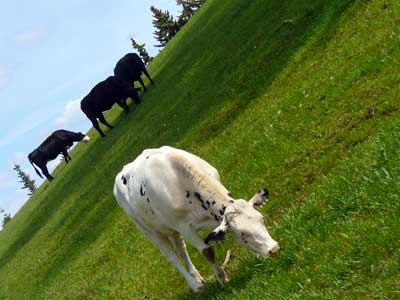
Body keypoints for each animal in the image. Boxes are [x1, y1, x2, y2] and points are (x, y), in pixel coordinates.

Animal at [114, 146, 280, 292]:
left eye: (262, 220)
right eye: (243, 234)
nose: (274, 249)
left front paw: (256, 256)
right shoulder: (183, 227)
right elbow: (207, 251)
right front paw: (222, 279)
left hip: (171, 229)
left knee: (181, 250)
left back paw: (197, 277)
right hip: (149, 231)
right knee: (171, 256)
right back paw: (195, 285)